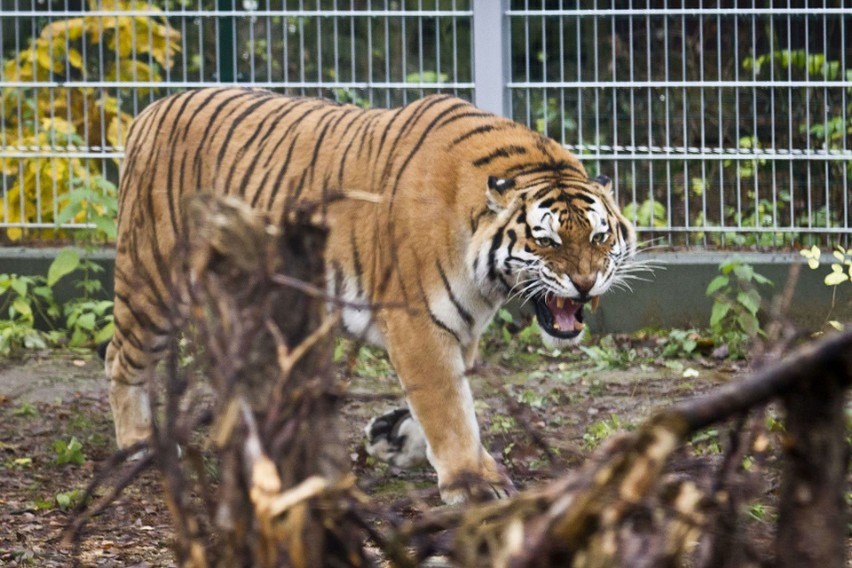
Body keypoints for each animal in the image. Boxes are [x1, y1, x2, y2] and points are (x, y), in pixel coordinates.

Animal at [106, 86, 636, 504]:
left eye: (599, 237)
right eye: (547, 241)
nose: (586, 283)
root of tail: (153, 109)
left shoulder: (460, 327)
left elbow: (444, 401)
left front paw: (394, 439)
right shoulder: (418, 322)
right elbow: (448, 406)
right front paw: (473, 481)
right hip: (152, 281)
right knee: (121, 356)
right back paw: (137, 440)